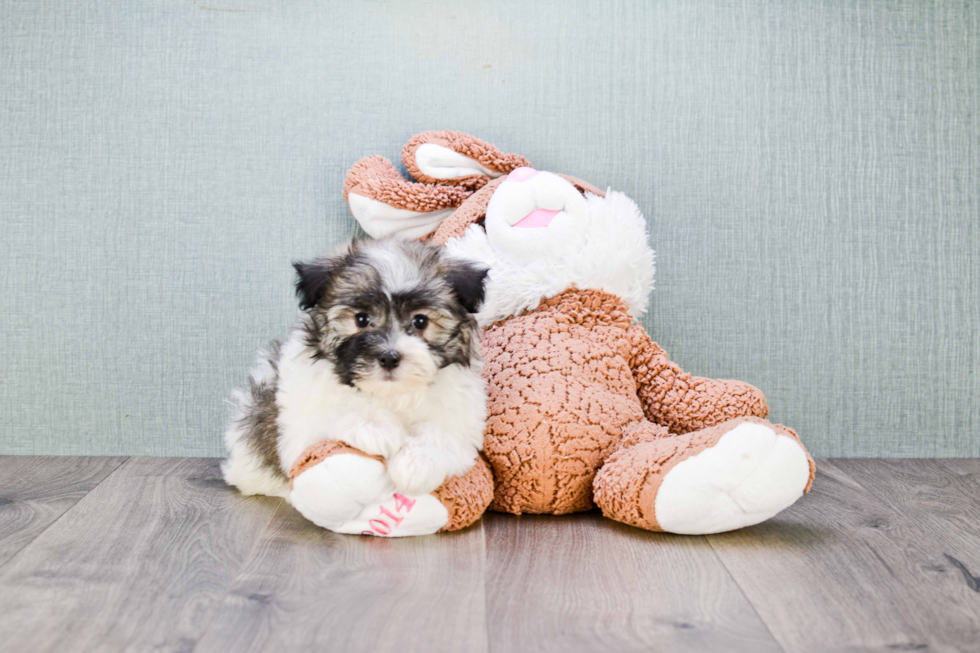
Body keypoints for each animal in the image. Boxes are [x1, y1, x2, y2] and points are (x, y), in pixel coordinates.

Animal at [227, 239, 494, 500]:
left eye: (420, 321)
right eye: (361, 319)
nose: (389, 357)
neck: (391, 396)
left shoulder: (461, 422)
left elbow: (441, 433)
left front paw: (417, 464)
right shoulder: (300, 425)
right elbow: (335, 412)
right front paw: (376, 428)